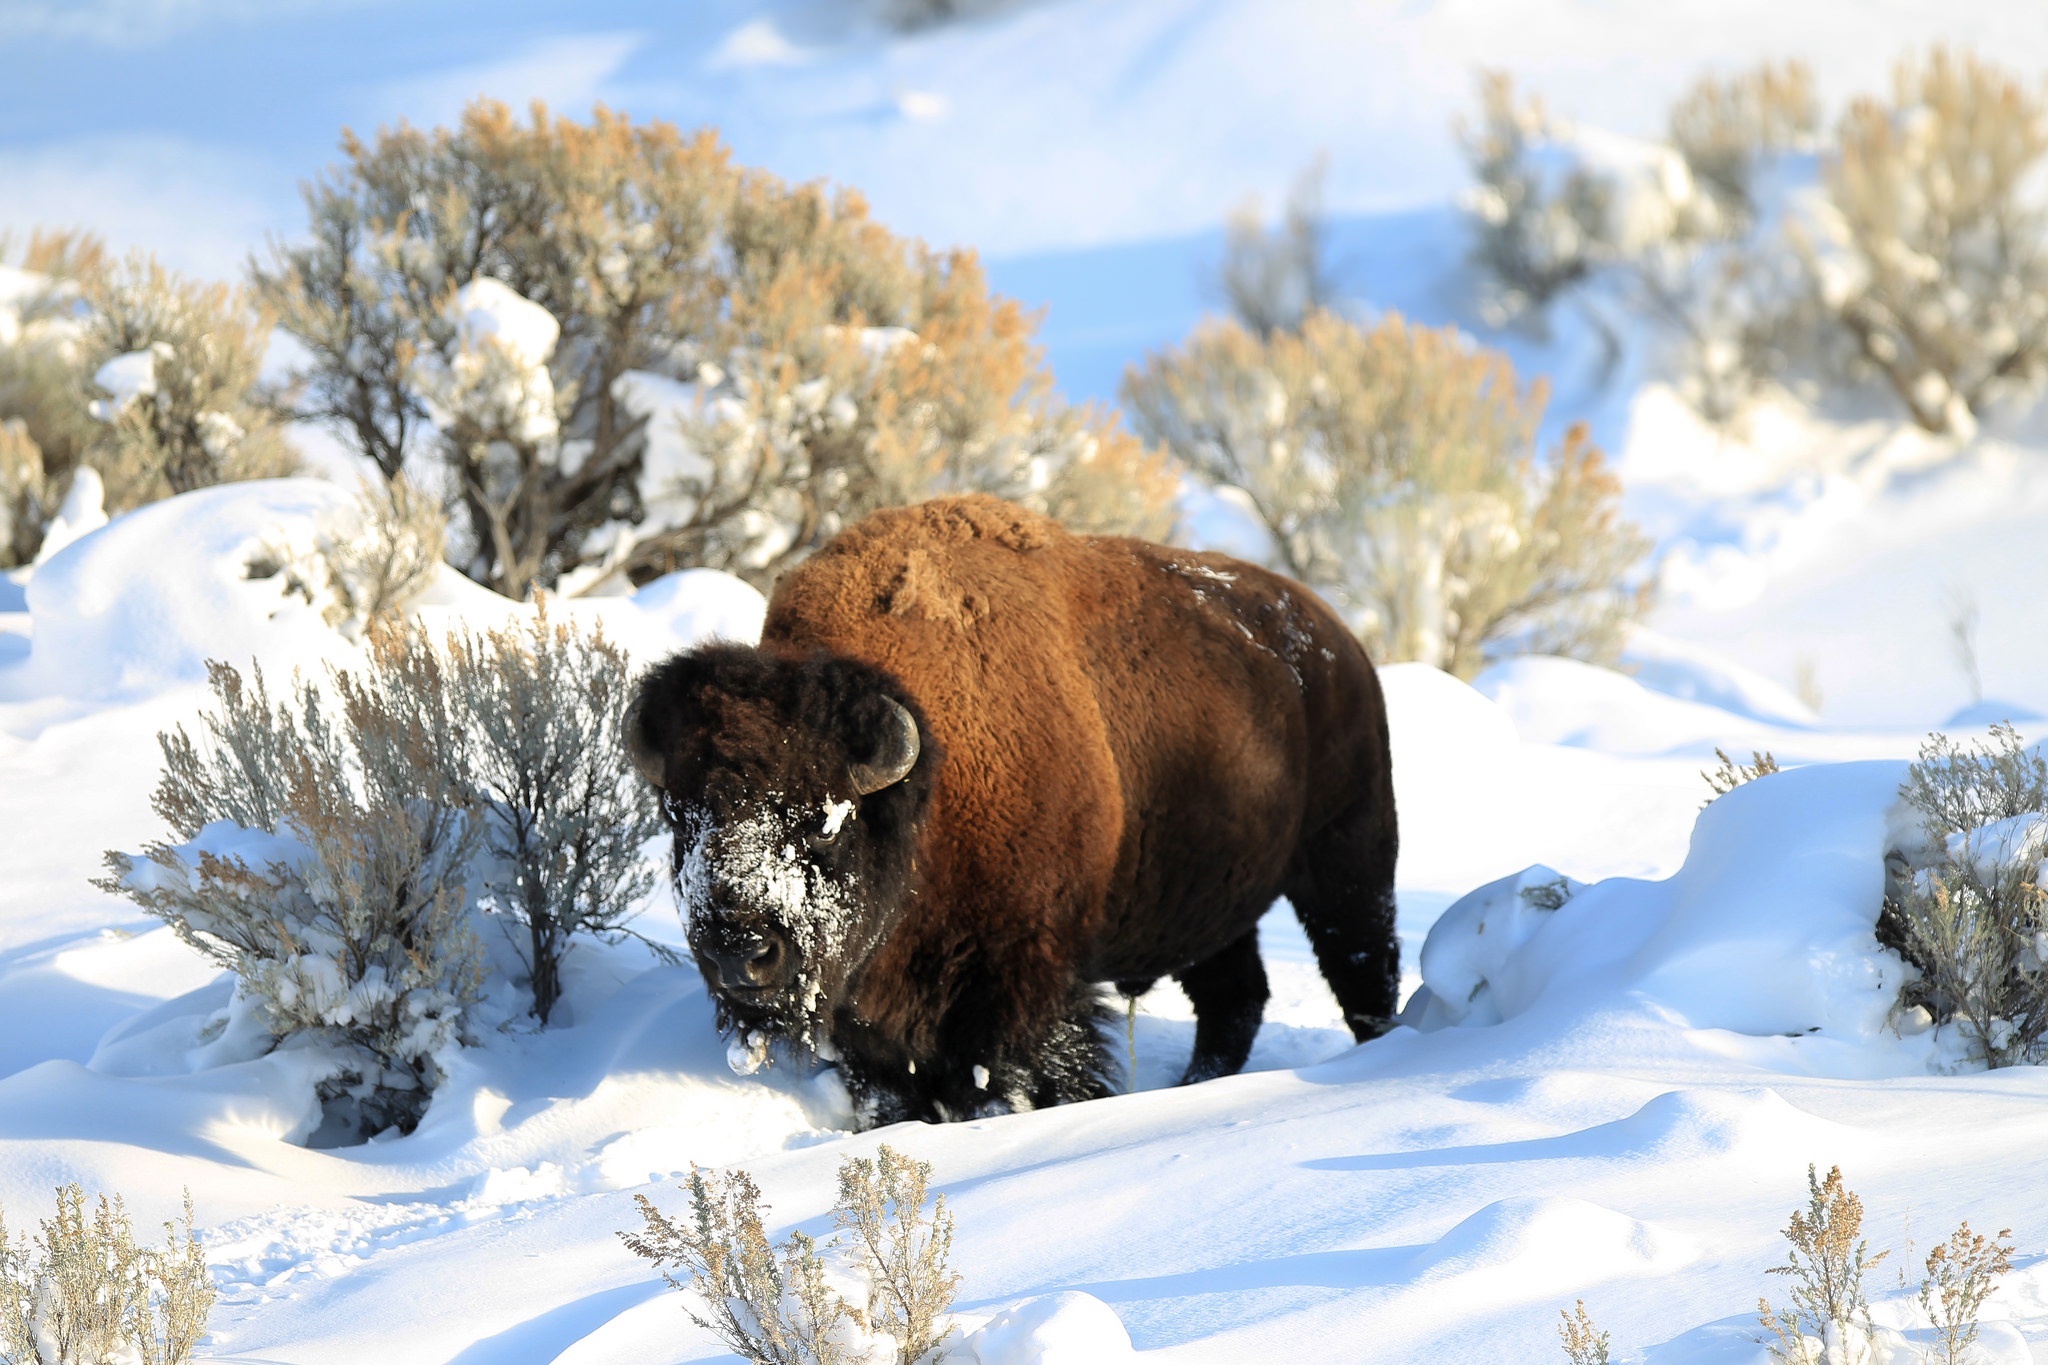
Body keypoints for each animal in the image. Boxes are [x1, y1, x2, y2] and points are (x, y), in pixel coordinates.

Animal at [618, 497, 1392, 1129]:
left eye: (823, 820)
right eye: (679, 815)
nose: (738, 950)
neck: (929, 787)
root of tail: (1336, 642)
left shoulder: (1022, 982)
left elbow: (1017, 1078)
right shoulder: (876, 1026)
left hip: (1348, 857)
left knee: (1362, 970)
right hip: (1210, 906)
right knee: (1234, 1000)